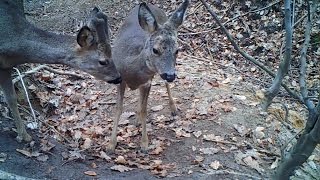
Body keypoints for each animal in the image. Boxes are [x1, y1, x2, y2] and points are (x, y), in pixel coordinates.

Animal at [0, 0, 121, 143]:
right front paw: (23, 135)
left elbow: (11, 98)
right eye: (103, 61)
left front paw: (23, 135)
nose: (118, 77)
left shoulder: (6, 67)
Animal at [109, 0, 189, 153]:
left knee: (164, 87)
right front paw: (111, 144)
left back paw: (173, 108)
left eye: (177, 50)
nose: (170, 75)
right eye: (155, 50)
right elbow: (118, 109)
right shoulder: (120, 80)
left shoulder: (147, 82)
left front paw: (144, 144)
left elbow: (144, 110)